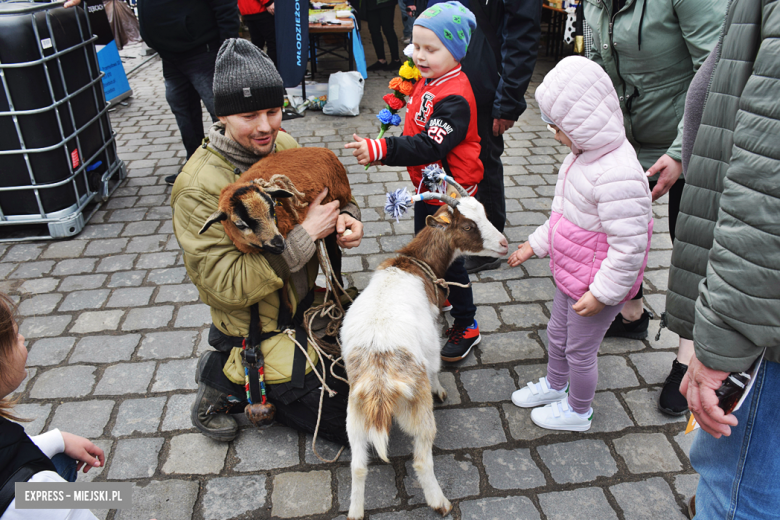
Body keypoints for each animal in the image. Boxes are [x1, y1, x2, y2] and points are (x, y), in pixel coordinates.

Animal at [340, 185, 508, 516]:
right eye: (467, 226)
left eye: (483, 212)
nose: (505, 244)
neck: (412, 263)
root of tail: (380, 383)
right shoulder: (432, 335)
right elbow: (434, 367)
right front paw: (440, 389)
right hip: (418, 411)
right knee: (420, 459)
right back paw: (439, 502)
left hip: (355, 417)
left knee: (358, 466)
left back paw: (355, 512)